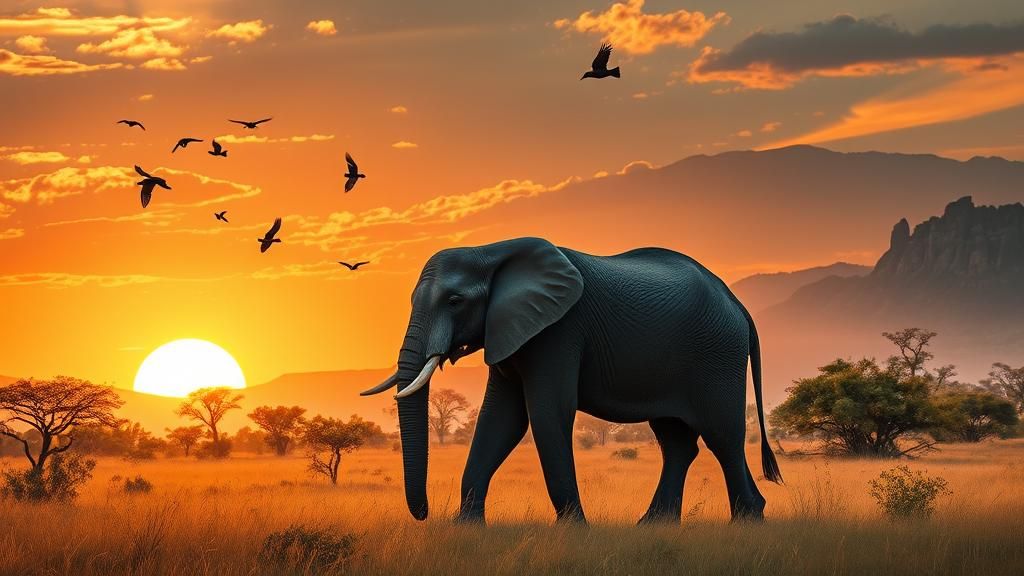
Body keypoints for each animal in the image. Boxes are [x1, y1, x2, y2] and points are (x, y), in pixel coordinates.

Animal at [361, 237, 782, 524]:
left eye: (454, 301)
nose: (425, 513)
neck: (492, 252)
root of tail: (736, 303)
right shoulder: (512, 331)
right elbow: (501, 420)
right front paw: (466, 529)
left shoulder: (559, 331)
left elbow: (547, 414)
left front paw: (575, 530)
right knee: (677, 443)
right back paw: (655, 525)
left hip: (717, 354)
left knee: (723, 437)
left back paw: (746, 522)